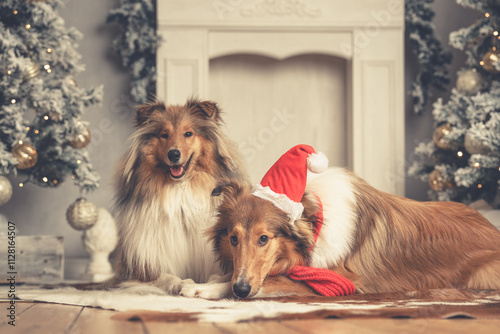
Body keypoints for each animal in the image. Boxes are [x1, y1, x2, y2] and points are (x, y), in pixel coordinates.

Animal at [112, 98, 247, 294]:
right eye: (164, 135)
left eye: (188, 133)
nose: (174, 154)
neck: (180, 190)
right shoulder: (142, 270)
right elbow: (167, 277)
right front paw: (183, 284)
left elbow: (221, 277)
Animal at [188, 145, 500, 298]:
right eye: (233, 238)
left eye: (264, 239)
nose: (241, 290)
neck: (317, 220)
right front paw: (210, 280)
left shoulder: (340, 281)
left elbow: (272, 280)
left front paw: (206, 288)